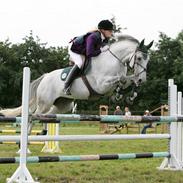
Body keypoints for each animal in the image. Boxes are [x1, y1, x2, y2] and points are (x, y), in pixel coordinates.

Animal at [0, 34, 153, 117]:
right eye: (139, 58)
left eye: (148, 60)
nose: (143, 79)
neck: (114, 59)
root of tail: (45, 77)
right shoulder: (101, 85)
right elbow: (121, 79)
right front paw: (121, 94)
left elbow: (127, 80)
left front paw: (128, 95)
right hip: (44, 103)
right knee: (35, 116)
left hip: (63, 105)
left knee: (49, 115)